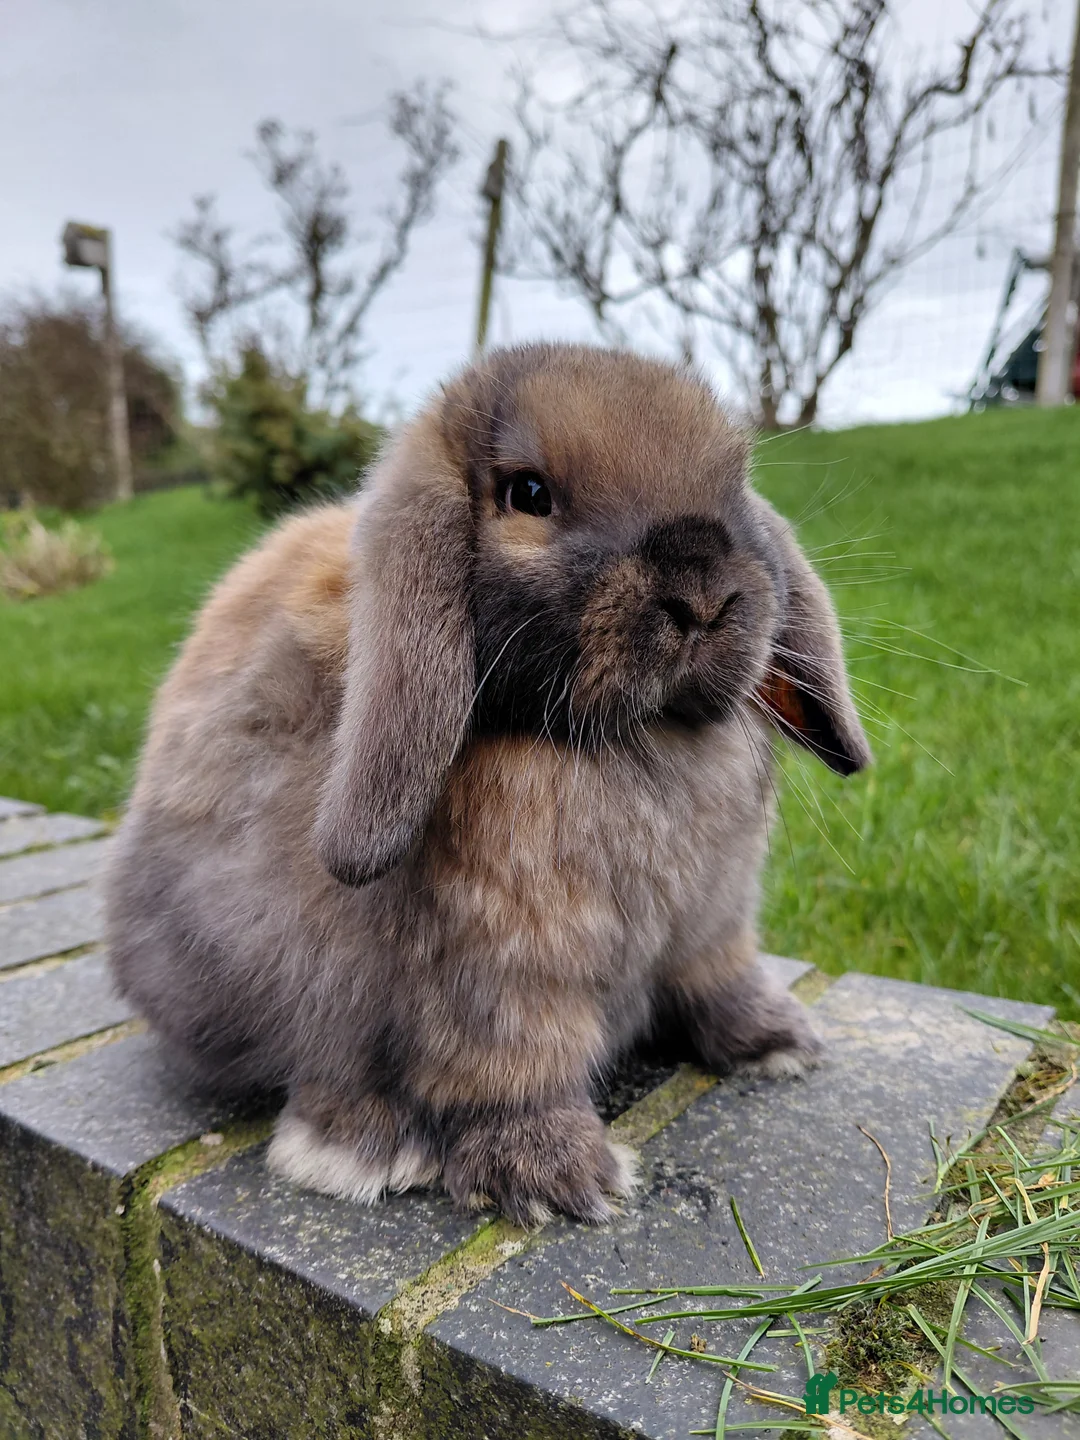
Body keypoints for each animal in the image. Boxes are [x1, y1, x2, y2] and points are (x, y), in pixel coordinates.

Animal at [106, 342, 870, 1227]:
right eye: (528, 494)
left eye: (735, 484)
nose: (704, 592)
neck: (636, 740)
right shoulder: (496, 978)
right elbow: (511, 1068)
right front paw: (557, 1178)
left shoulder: (713, 928)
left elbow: (724, 982)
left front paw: (779, 1043)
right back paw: (360, 1150)